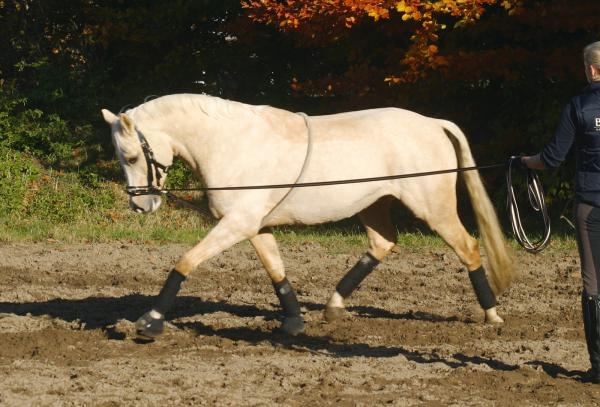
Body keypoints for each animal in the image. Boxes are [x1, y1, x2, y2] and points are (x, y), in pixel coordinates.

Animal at [102, 94, 516, 340]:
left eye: (133, 156)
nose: (140, 206)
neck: (233, 143)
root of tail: (432, 122)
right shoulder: (255, 226)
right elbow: (276, 271)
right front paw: (294, 323)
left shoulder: (237, 223)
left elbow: (186, 262)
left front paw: (150, 321)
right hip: (374, 204)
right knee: (383, 243)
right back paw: (334, 306)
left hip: (433, 208)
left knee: (468, 247)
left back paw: (492, 315)